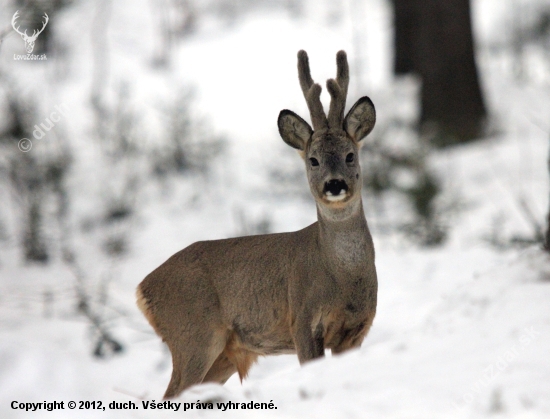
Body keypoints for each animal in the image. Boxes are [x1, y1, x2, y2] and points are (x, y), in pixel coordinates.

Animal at [138, 50, 380, 400]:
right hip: (193, 334)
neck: (342, 276)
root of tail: (142, 288)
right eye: (313, 160)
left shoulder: (356, 329)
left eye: (350, 155)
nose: (334, 184)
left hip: (222, 353)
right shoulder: (303, 320)